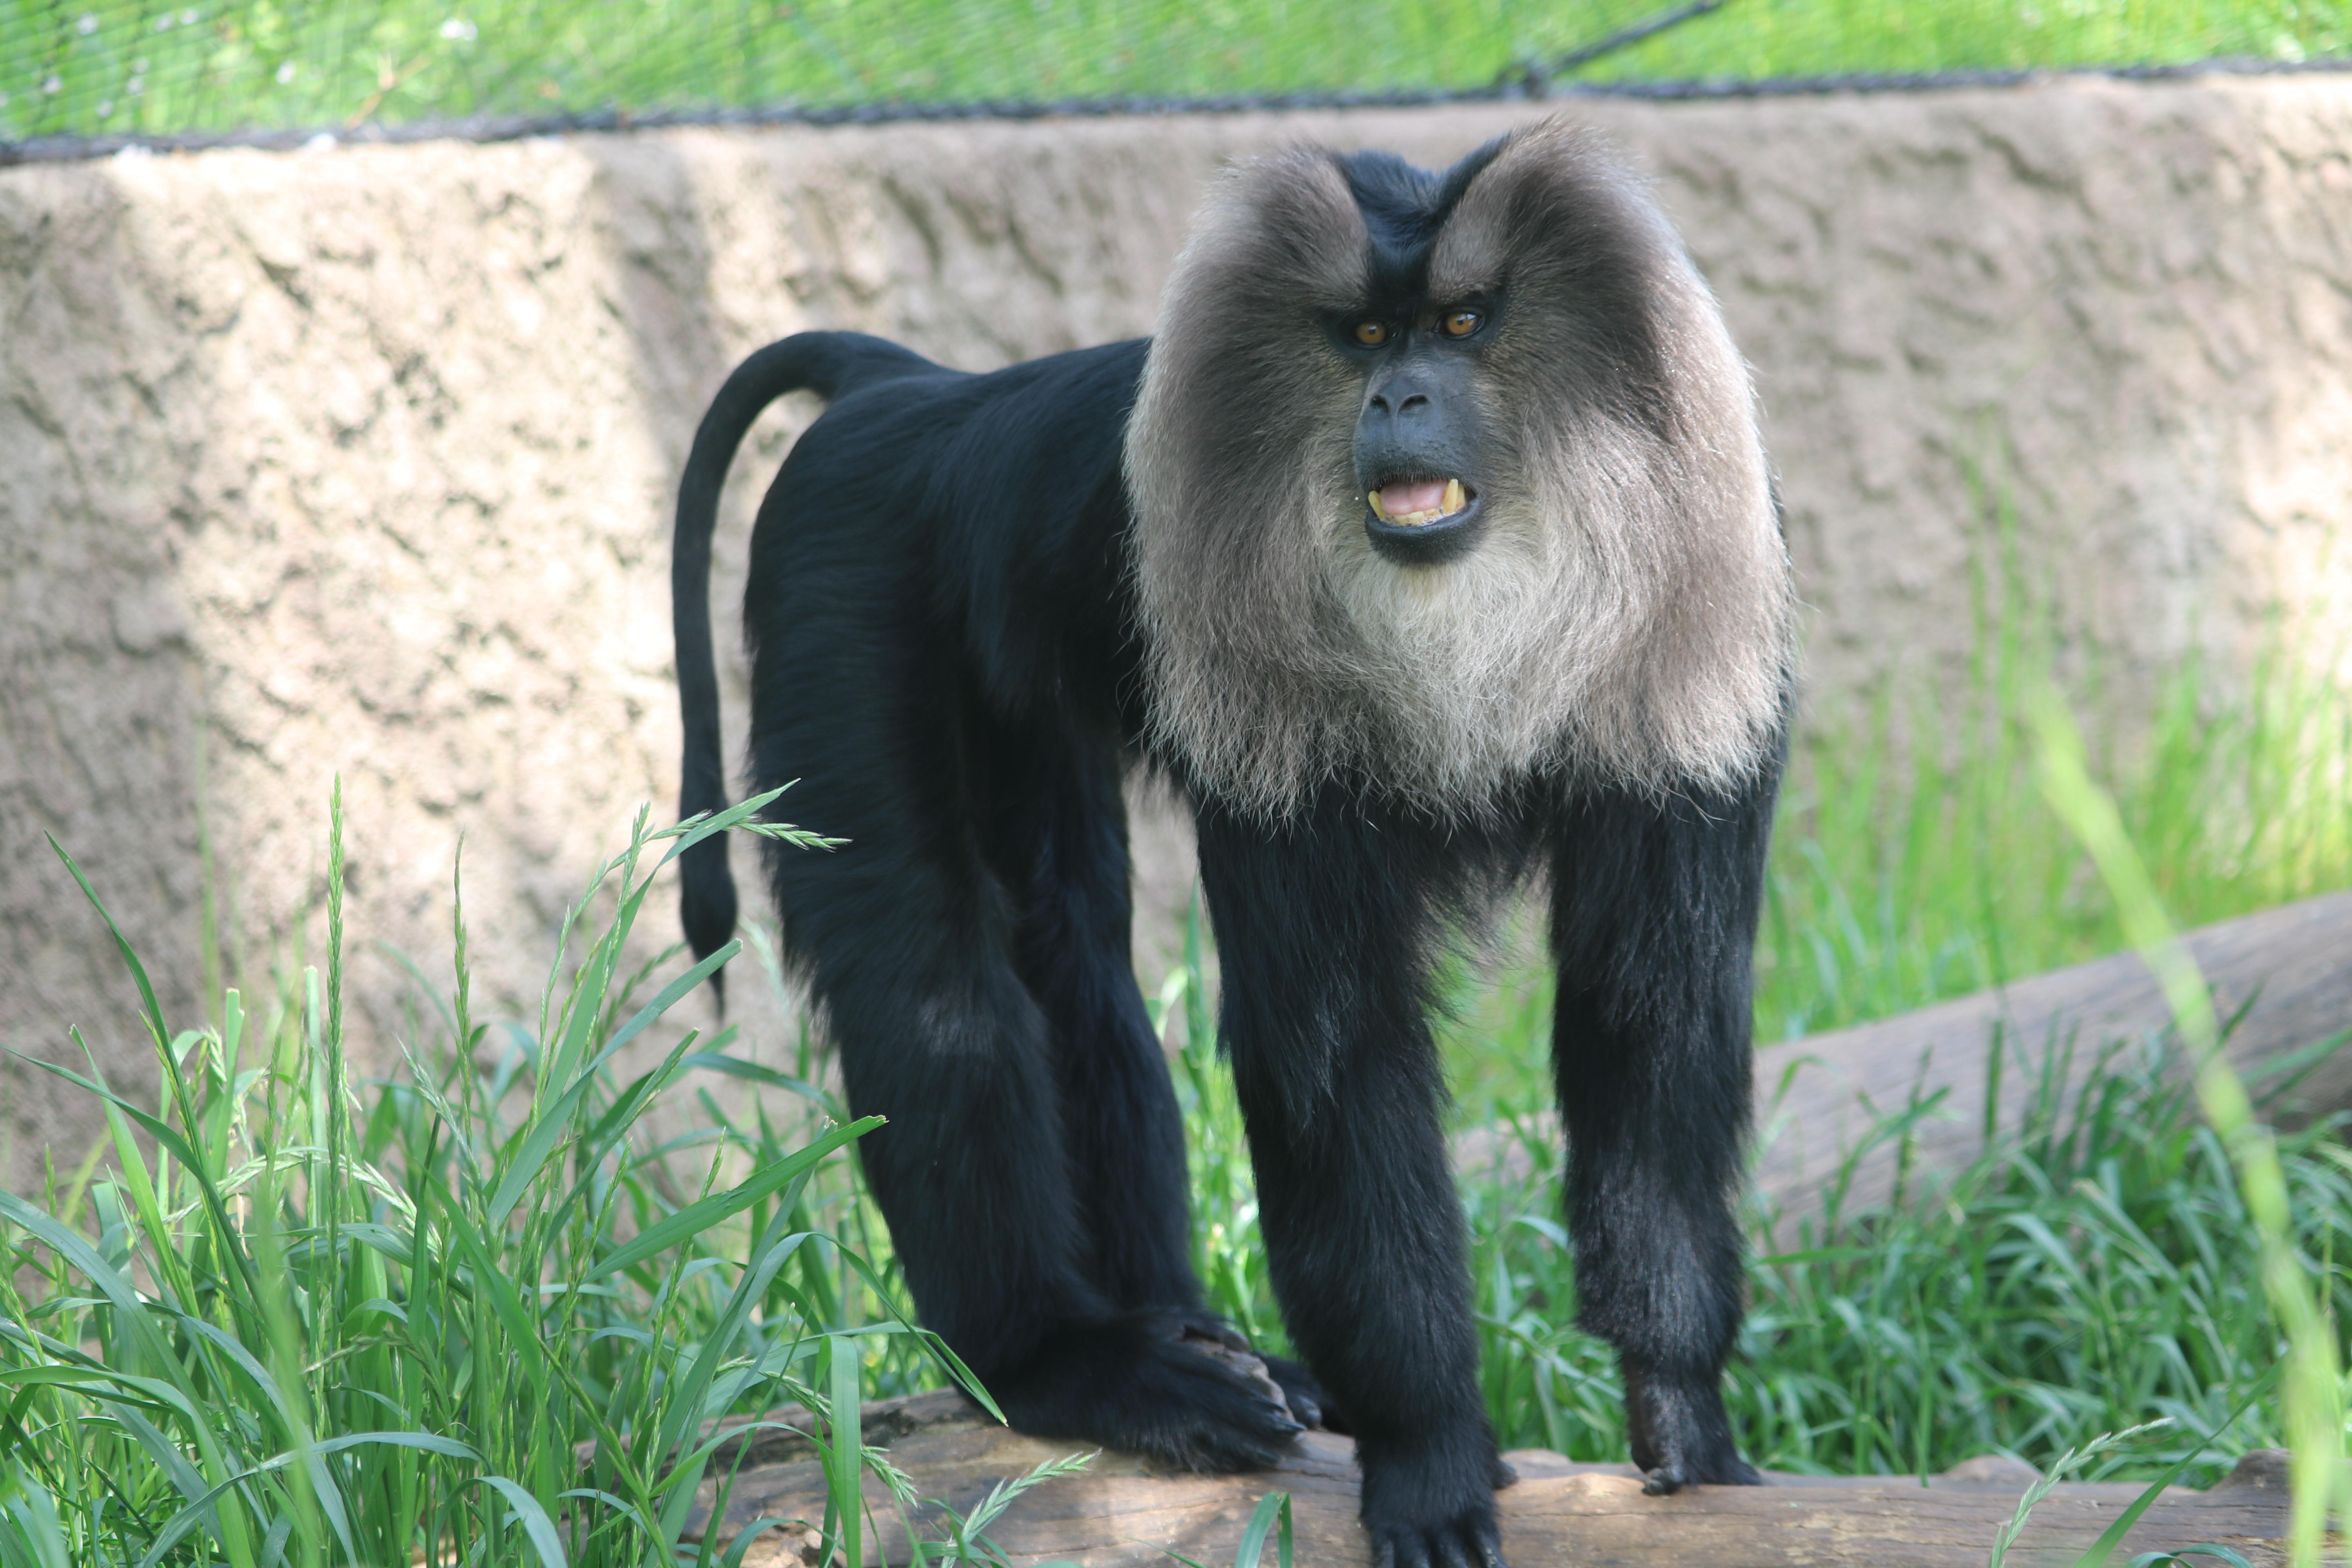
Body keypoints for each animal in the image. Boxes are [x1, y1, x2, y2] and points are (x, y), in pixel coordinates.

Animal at [673, 116, 1788, 1561]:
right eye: (1363, 338)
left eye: (1464, 322)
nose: (1398, 403)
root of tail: (918, 392)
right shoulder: (1288, 759)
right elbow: (1336, 1056)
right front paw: (1430, 1455)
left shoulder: (1689, 694)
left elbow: (1652, 1031)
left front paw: (1684, 1417)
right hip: (842, 587)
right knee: (929, 979)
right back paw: (1066, 1362)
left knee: (1073, 962)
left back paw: (1191, 1337)